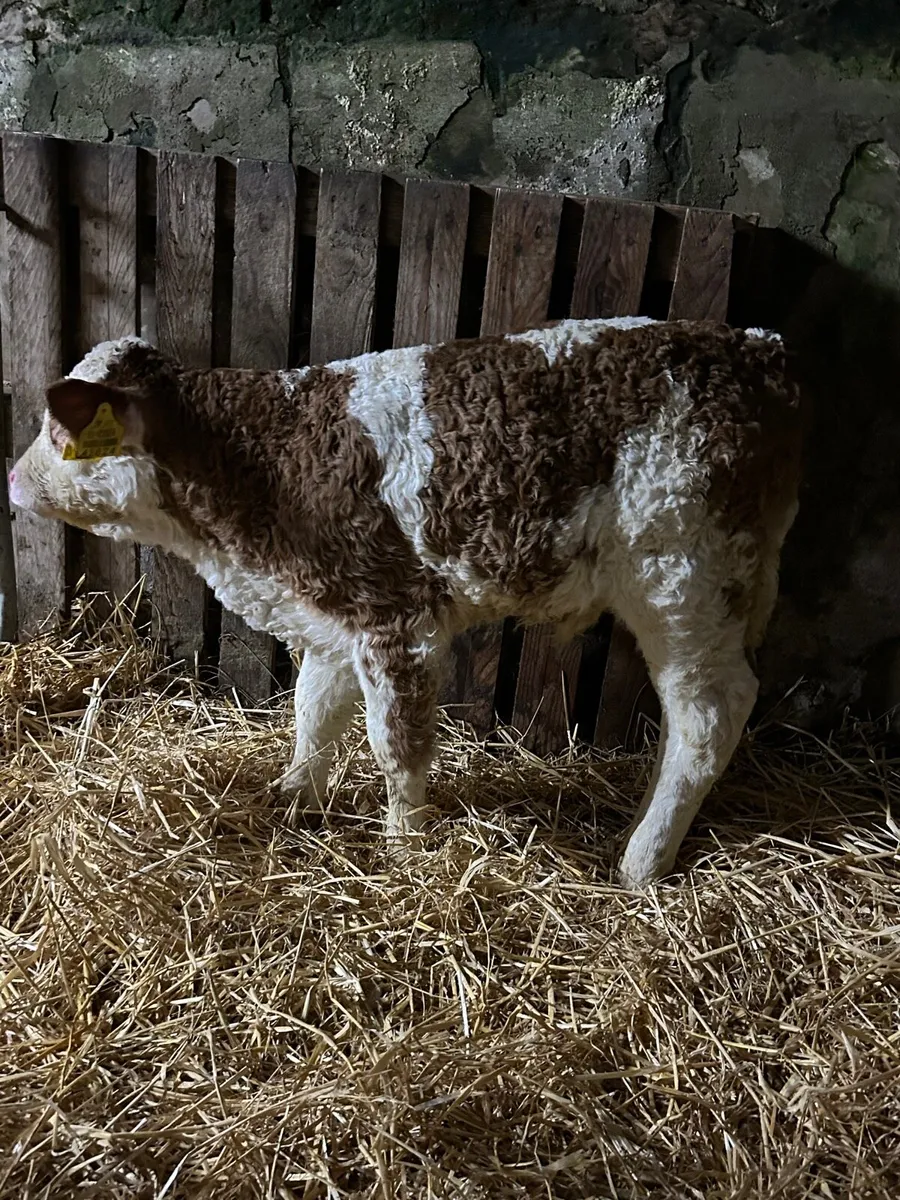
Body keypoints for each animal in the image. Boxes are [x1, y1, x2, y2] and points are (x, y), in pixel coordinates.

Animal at [7, 316, 806, 886]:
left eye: (58, 429)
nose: (13, 479)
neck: (263, 461)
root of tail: (754, 350)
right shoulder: (329, 611)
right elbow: (313, 714)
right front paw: (293, 798)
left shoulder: (392, 616)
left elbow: (396, 745)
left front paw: (402, 851)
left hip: (682, 578)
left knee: (709, 715)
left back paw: (641, 861)